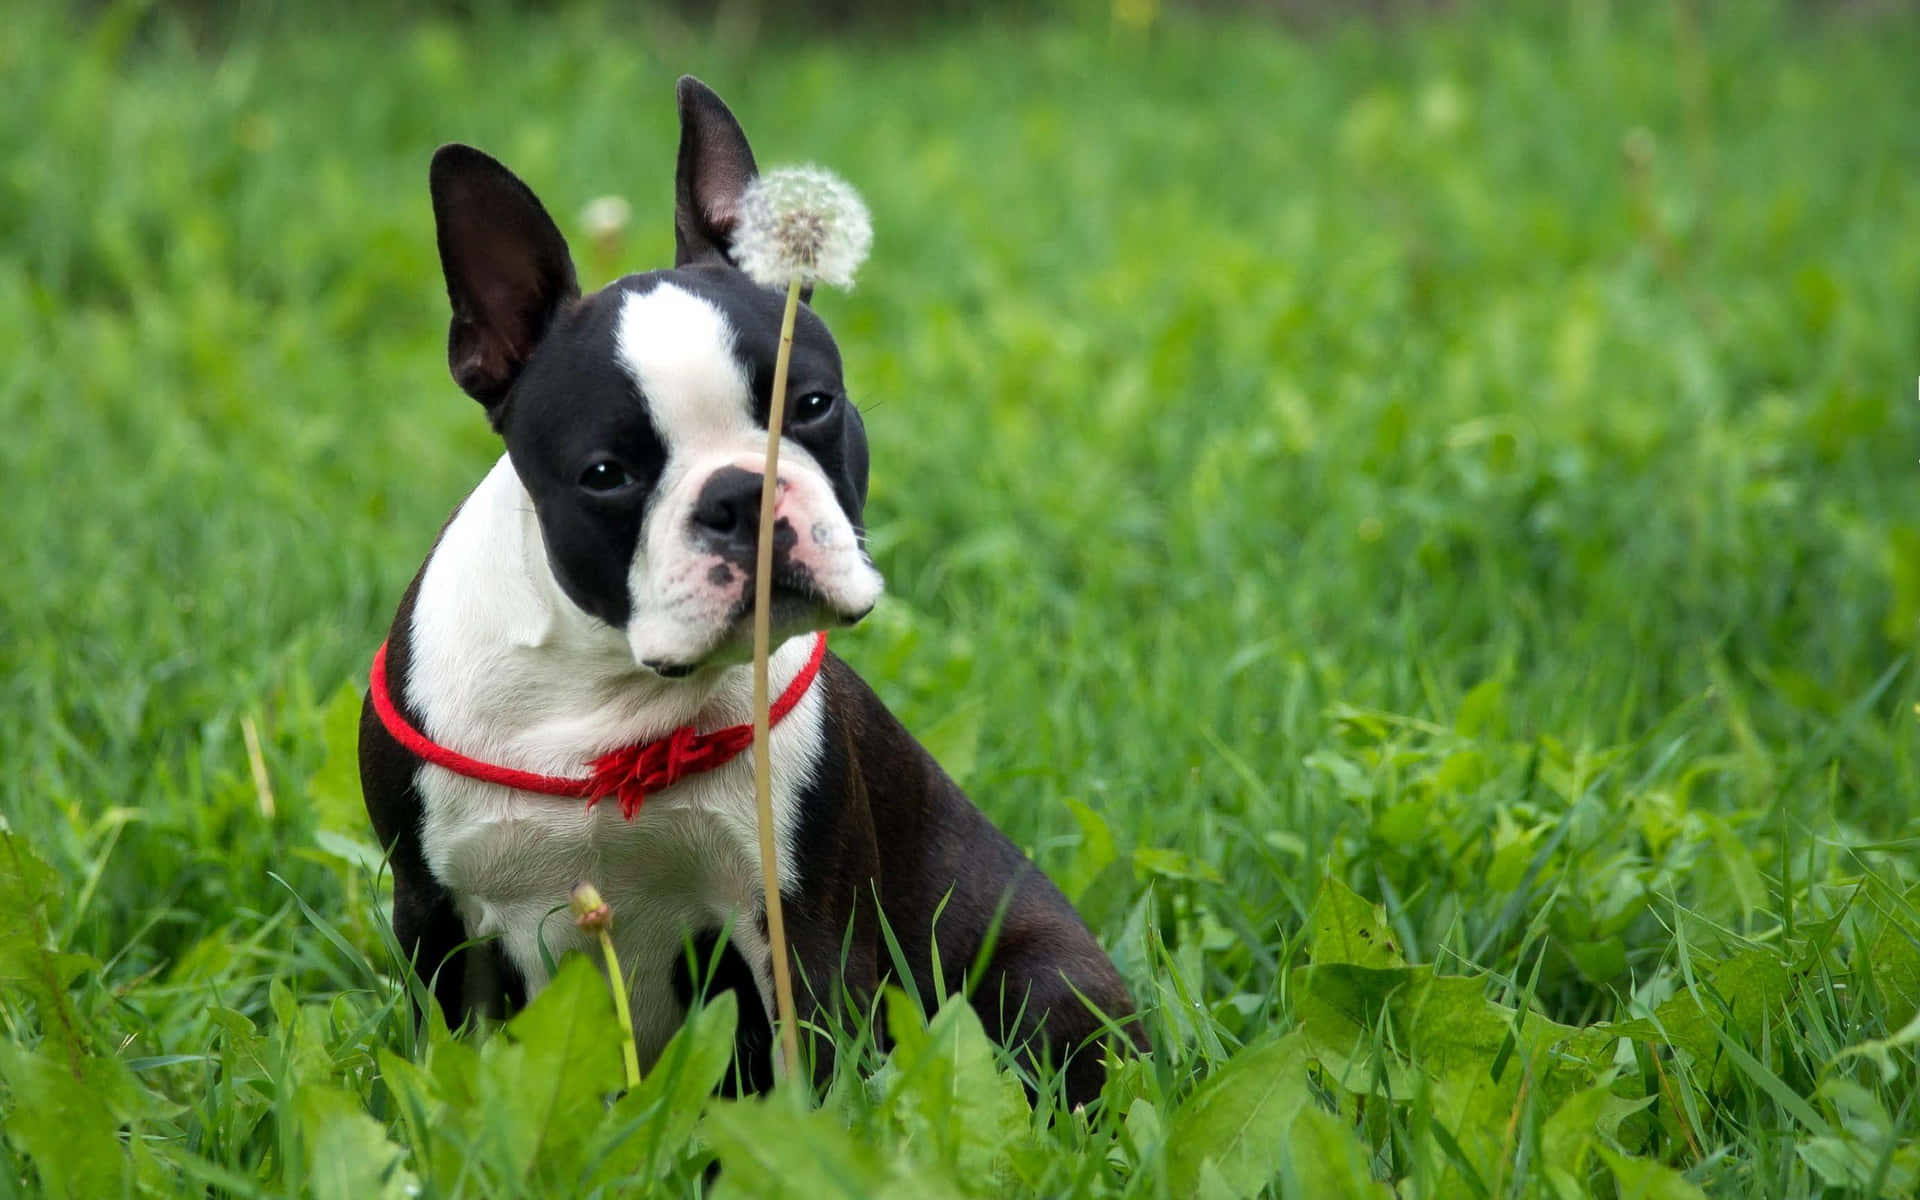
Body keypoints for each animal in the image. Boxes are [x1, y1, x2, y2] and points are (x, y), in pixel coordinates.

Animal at [360, 74, 1136, 1105]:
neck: (610, 694)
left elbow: (814, 1078)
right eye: (606, 474)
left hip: (1039, 978)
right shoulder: (439, 924)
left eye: (811, 406)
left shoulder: (800, 923)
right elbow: (452, 1075)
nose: (743, 492)